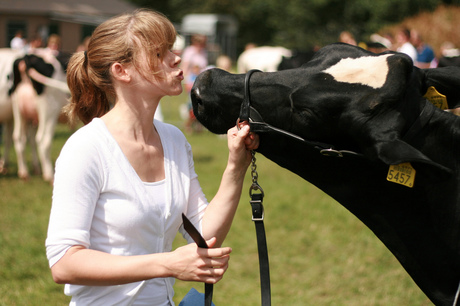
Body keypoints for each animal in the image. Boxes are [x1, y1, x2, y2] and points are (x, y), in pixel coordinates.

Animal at [0, 47, 69, 182]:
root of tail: (27, 57)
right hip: (49, 109)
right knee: (43, 140)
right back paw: (49, 175)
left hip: (20, 110)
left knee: (18, 137)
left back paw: (24, 173)